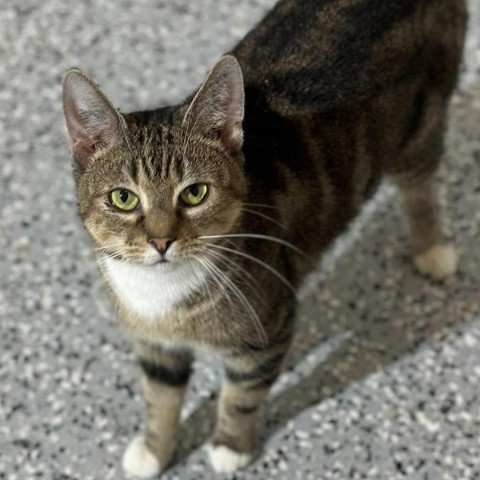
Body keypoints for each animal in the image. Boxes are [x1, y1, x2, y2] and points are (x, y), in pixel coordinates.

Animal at [62, 0, 466, 476]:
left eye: (195, 193)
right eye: (123, 198)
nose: (161, 241)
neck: (164, 298)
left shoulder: (268, 329)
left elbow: (243, 395)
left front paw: (230, 446)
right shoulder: (155, 345)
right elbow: (159, 397)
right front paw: (155, 450)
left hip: (422, 122)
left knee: (420, 186)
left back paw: (433, 250)